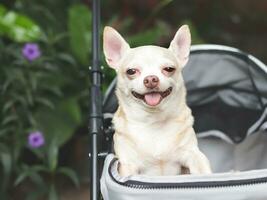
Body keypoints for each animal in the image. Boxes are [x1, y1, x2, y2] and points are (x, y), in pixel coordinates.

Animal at [103, 25, 213, 177]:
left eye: (169, 69)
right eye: (131, 71)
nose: (151, 79)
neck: (153, 122)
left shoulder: (192, 153)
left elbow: (202, 168)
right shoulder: (128, 165)